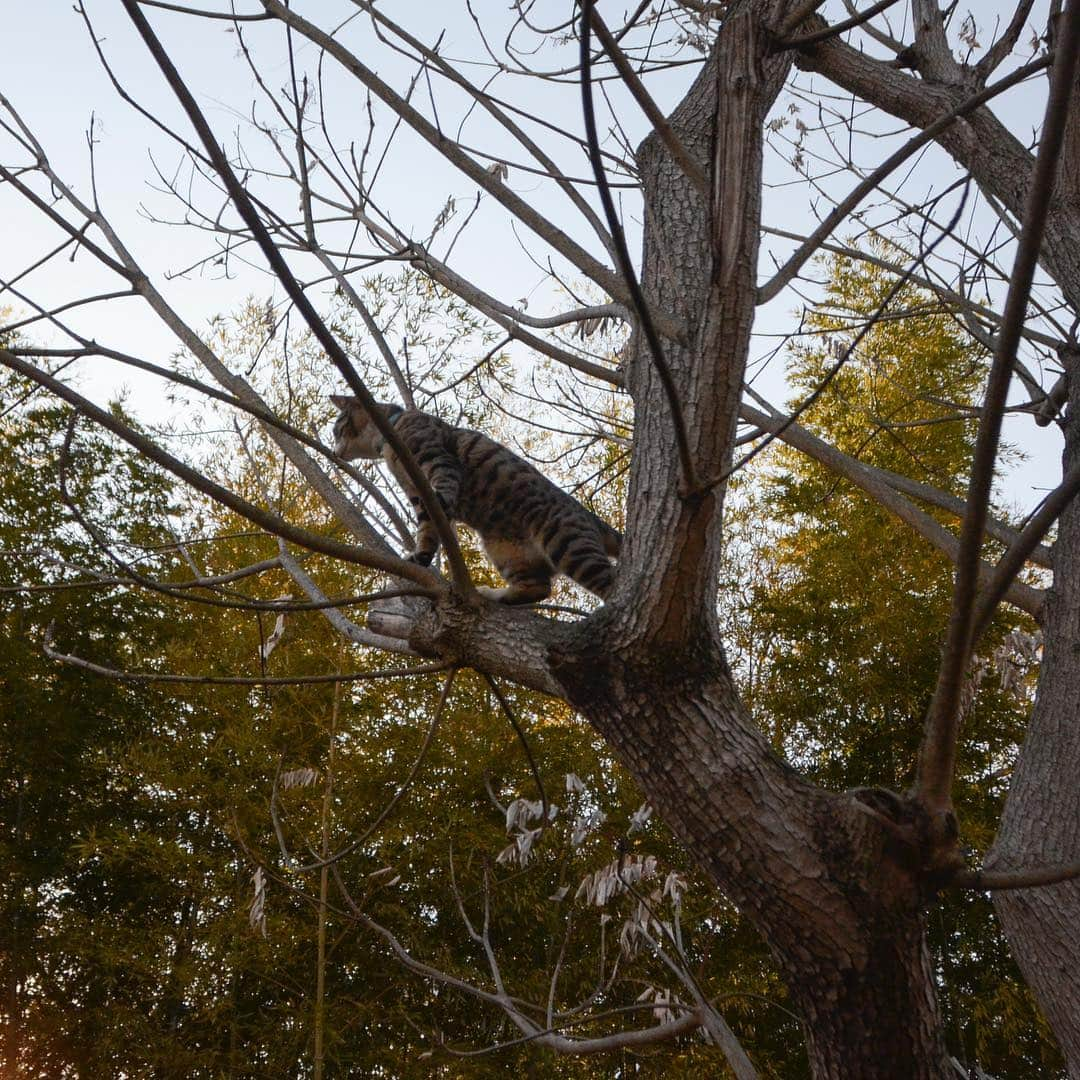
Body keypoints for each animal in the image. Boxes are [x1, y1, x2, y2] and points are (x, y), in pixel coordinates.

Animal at [328, 397, 622, 604]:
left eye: (336, 430)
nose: (333, 451)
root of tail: (588, 515)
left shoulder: (436, 458)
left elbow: (443, 486)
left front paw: (442, 501)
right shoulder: (416, 494)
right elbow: (427, 530)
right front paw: (421, 556)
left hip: (567, 542)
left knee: (608, 582)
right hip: (507, 553)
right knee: (538, 588)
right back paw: (495, 595)